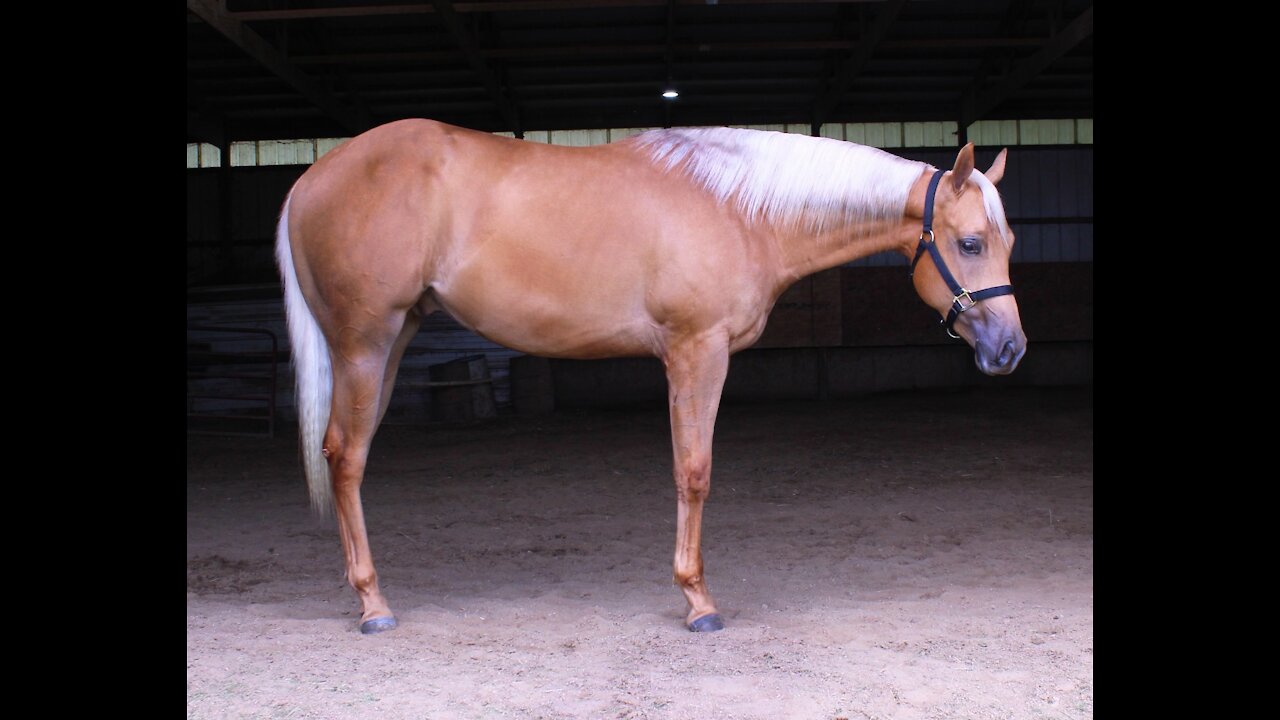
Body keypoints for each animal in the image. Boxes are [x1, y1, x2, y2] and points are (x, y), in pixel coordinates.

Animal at [277, 119, 1029, 632]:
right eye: (970, 243)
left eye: (1008, 241)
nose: (1010, 348)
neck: (737, 207)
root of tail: (311, 178)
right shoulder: (698, 351)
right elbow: (693, 471)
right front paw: (697, 601)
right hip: (364, 344)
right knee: (345, 459)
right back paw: (373, 604)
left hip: (393, 339)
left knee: (347, 456)